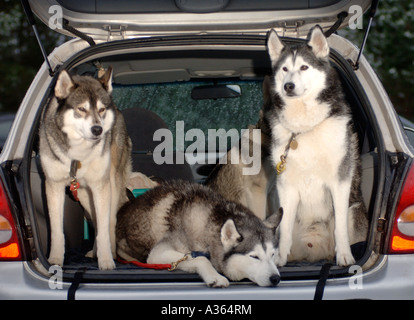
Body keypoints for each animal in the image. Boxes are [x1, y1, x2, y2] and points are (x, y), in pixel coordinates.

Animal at [39, 68, 131, 270]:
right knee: (96, 220)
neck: (78, 155)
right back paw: (94, 252)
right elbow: (56, 230)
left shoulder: (100, 186)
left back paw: (111, 253)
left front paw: (106, 261)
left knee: (109, 221)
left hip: (110, 185)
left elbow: (104, 229)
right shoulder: (54, 186)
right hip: (83, 195)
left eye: (102, 110)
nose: (97, 130)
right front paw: (55, 260)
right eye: (81, 109)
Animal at [116, 180, 282, 288]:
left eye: (273, 254)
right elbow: (200, 258)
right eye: (254, 257)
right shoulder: (158, 254)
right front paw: (215, 276)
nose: (276, 278)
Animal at [266, 25, 368, 266]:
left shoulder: (340, 181)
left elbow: (340, 228)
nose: (288, 86)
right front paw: (279, 258)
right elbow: (284, 229)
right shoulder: (286, 185)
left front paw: (345, 256)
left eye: (304, 67)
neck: (304, 127)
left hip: (353, 209)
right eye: (285, 68)